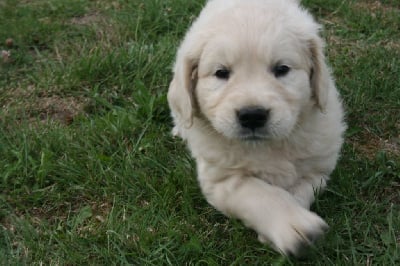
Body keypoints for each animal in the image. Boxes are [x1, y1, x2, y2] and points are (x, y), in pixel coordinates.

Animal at [167, 0, 346, 256]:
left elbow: (296, 192)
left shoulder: (317, 171)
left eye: (282, 69)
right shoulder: (220, 180)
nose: (252, 115)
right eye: (221, 73)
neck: (266, 147)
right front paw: (294, 226)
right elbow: (258, 193)